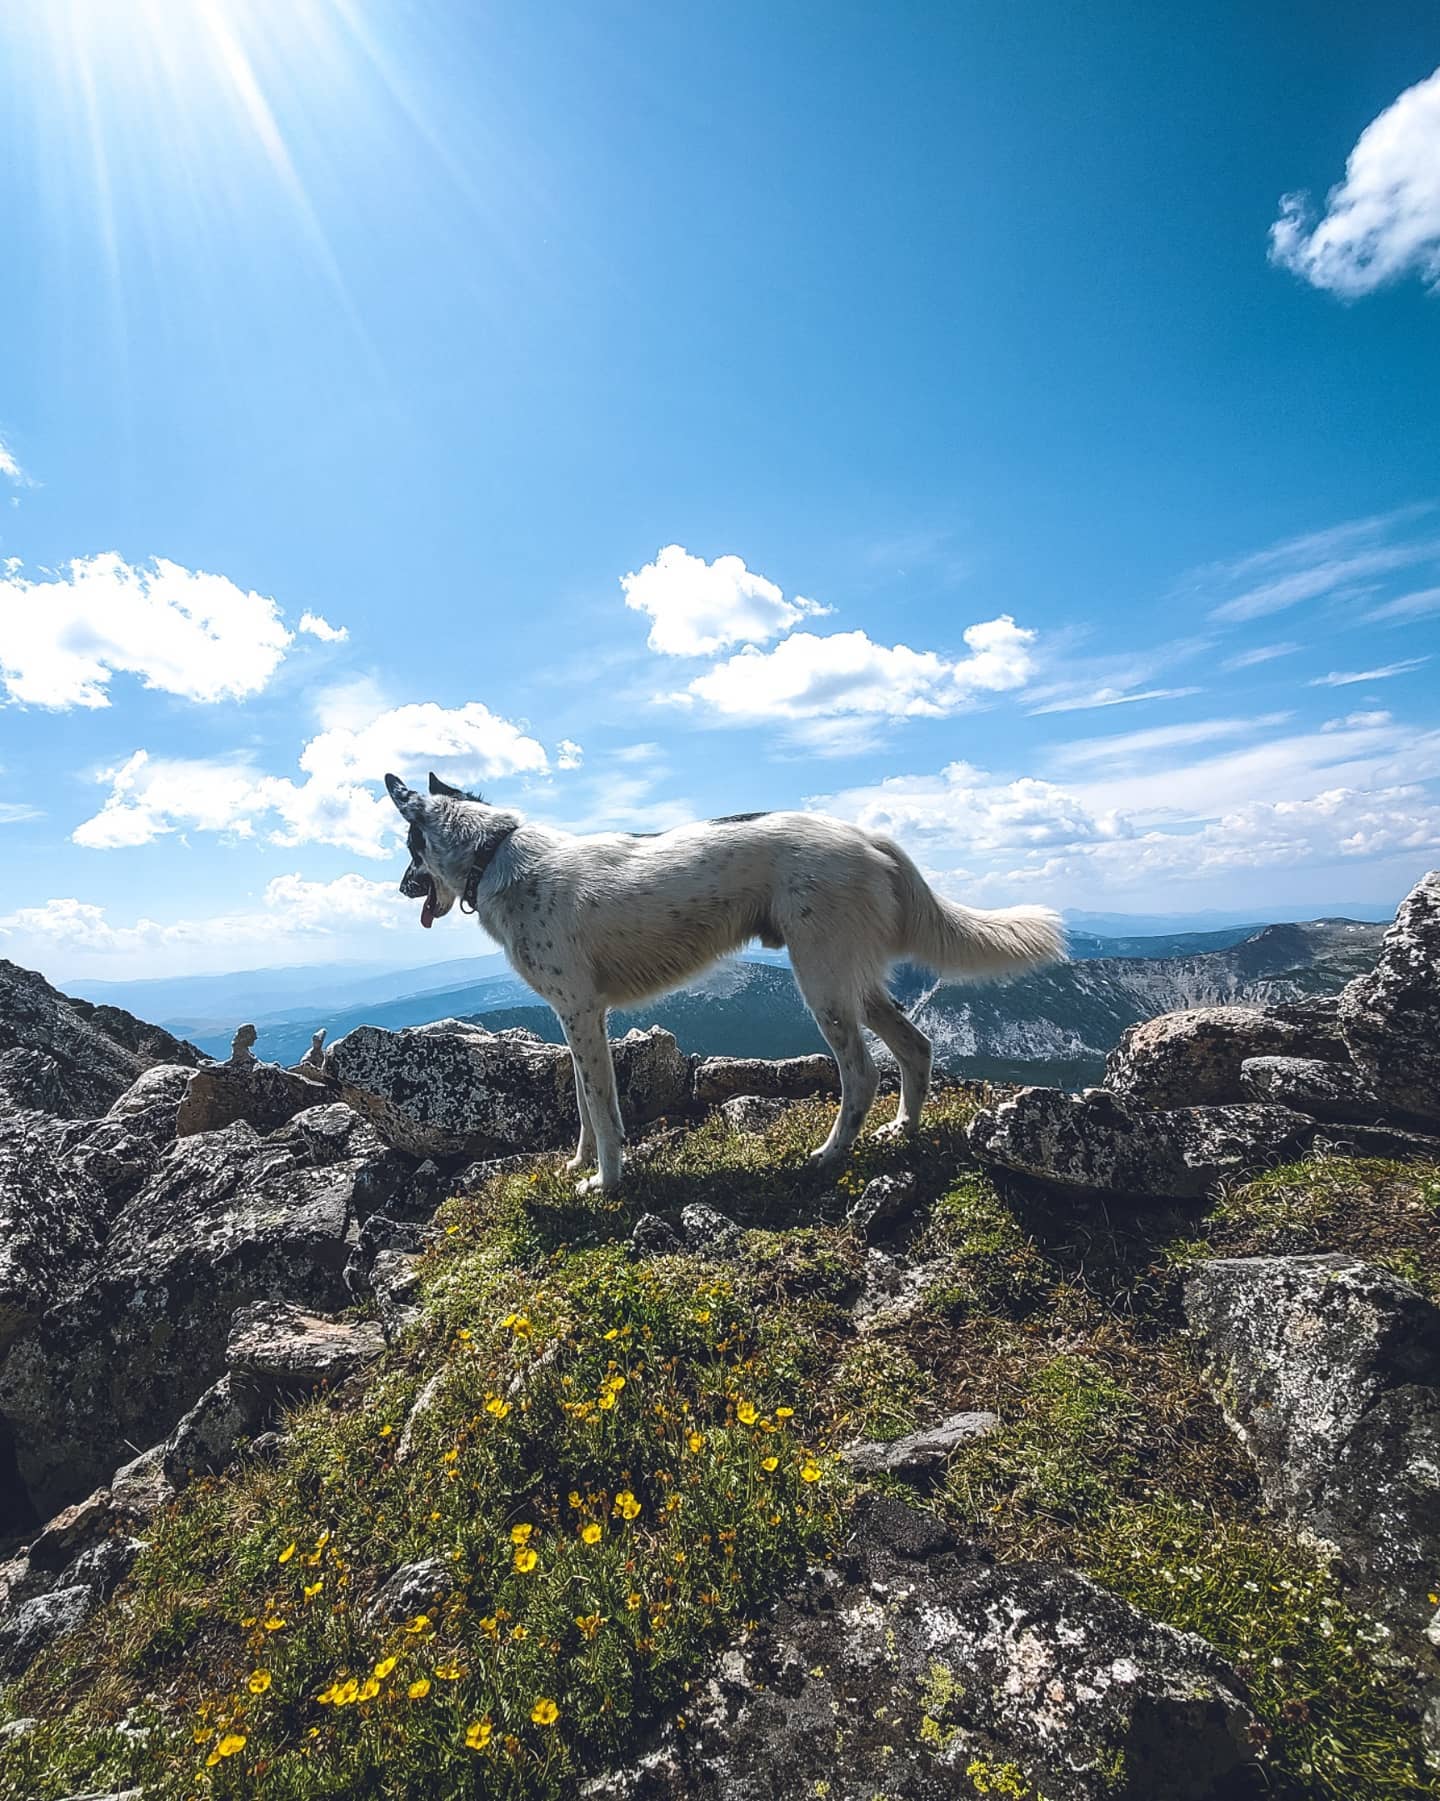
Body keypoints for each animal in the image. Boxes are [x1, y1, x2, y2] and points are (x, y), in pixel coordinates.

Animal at [385, 772, 1063, 1194]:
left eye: (410, 849)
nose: (400, 888)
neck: (494, 853)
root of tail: (867, 835)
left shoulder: (579, 1013)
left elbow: (600, 1109)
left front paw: (606, 1181)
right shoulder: (578, 1017)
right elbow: (583, 1103)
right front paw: (578, 1162)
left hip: (822, 983)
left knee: (863, 1074)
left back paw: (829, 1156)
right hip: (855, 983)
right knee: (917, 1048)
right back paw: (903, 1130)